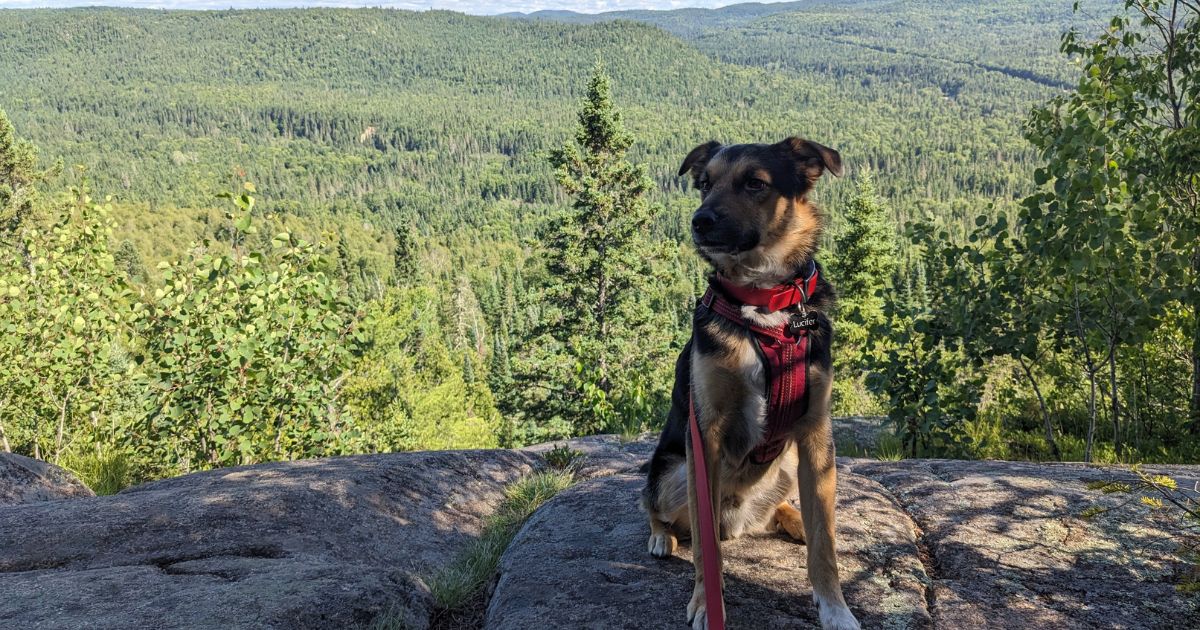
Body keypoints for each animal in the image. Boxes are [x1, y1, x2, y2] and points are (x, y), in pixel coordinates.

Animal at [643, 137, 859, 628]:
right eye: (704, 183)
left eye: (755, 183)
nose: (699, 221)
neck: (765, 305)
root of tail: (736, 521)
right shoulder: (704, 434)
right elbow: (705, 552)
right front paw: (708, 604)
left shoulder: (816, 436)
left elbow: (825, 543)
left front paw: (835, 608)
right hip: (670, 473)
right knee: (660, 511)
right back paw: (662, 536)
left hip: (786, 463)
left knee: (781, 508)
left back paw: (793, 519)